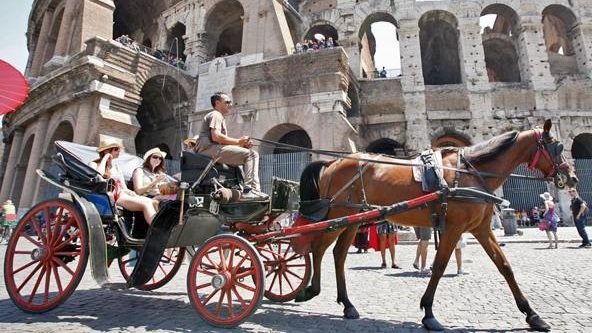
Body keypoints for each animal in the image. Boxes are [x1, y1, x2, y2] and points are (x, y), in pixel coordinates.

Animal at [294, 120, 580, 330]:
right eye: (557, 147)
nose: (572, 177)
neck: (472, 173)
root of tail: (333, 162)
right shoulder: (453, 228)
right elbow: (440, 266)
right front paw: (429, 312)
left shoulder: (481, 229)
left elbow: (505, 266)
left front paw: (532, 315)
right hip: (338, 214)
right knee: (318, 248)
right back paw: (311, 290)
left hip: (355, 219)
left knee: (338, 254)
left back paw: (346, 304)